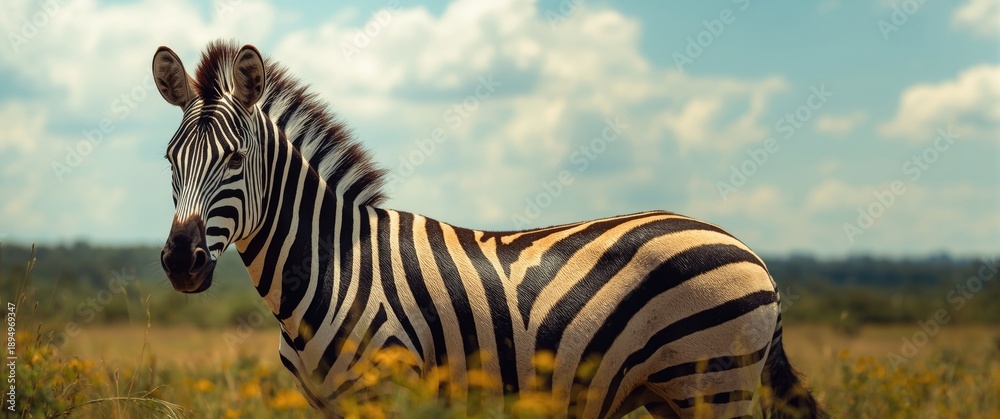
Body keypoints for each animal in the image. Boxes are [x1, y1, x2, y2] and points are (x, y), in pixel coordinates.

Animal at [153, 40, 826, 418]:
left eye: (235, 159)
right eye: (169, 159)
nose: (181, 260)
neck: (333, 267)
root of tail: (749, 251)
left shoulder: (388, 392)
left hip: (711, 384)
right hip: (672, 396)